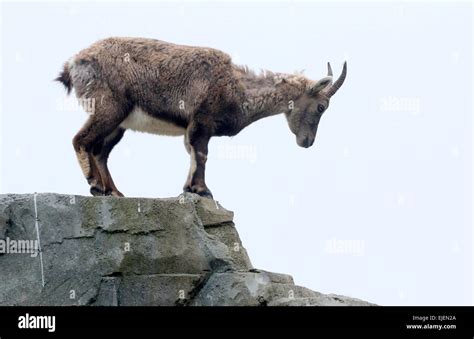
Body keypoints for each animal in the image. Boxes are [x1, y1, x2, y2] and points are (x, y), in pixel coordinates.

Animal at [56, 36, 348, 199]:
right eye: (321, 107)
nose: (307, 141)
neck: (238, 87)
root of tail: (72, 65)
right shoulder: (202, 120)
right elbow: (201, 155)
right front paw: (202, 190)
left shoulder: (194, 126)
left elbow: (193, 154)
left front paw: (189, 188)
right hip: (109, 108)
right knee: (80, 140)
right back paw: (96, 185)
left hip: (119, 123)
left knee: (100, 151)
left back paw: (113, 191)